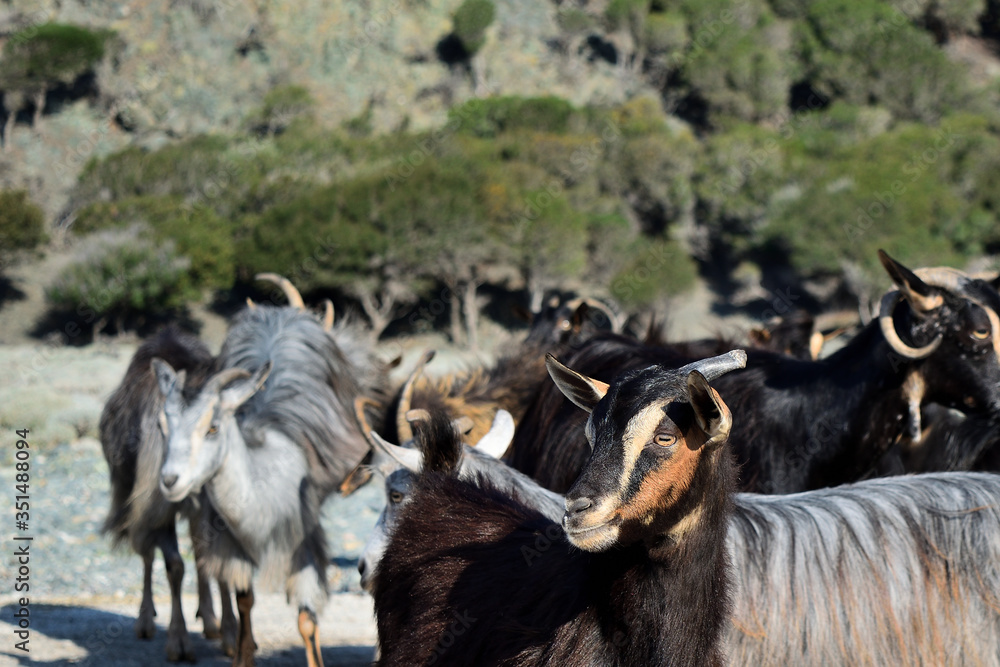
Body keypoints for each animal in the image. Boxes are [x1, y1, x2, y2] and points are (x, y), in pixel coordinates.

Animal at [100, 326, 235, 660]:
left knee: (197, 550)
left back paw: (209, 619)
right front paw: (178, 642)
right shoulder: (152, 506)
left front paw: (229, 635)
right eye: (163, 425)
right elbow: (174, 565)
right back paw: (145, 621)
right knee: (148, 553)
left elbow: (215, 561)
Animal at [152, 302, 386, 667]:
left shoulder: (303, 543)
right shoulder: (233, 545)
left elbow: (306, 619)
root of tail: (279, 312)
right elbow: (245, 600)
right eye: (162, 426)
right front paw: (243, 655)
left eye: (213, 427)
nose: (170, 480)